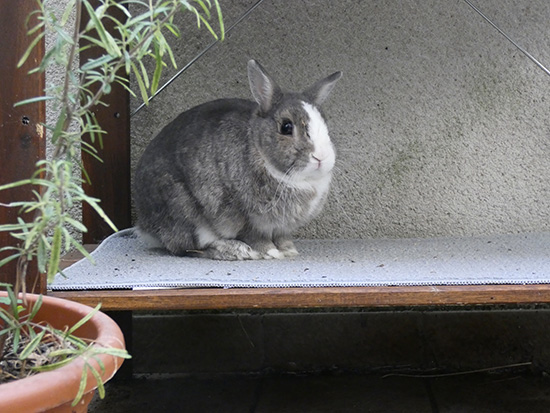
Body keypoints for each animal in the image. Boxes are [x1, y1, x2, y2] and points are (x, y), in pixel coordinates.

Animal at [133, 60, 342, 260]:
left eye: (325, 125)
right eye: (286, 127)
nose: (321, 157)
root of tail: (144, 225)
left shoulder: (281, 228)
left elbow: (282, 237)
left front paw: (289, 250)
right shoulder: (244, 216)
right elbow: (255, 237)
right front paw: (270, 252)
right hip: (185, 212)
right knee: (188, 248)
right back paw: (236, 251)